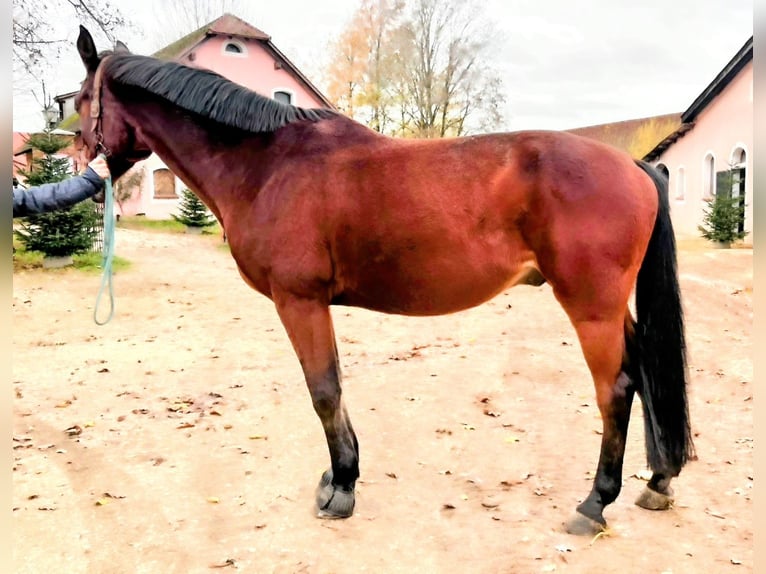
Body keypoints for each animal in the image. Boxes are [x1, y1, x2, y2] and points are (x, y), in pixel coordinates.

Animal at [73, 23, 696, 536]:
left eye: (79, 102)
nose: (80, 166)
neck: (267, 164)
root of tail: (635, 165)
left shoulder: (299, 301)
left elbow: (324, 391)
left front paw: (341, 489)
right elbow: (334, 387)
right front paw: (337, 478)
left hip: (591, 306)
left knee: (615, 388)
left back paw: (595, 503)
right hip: (611, 308)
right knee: (644, 370)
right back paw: (658, 481)